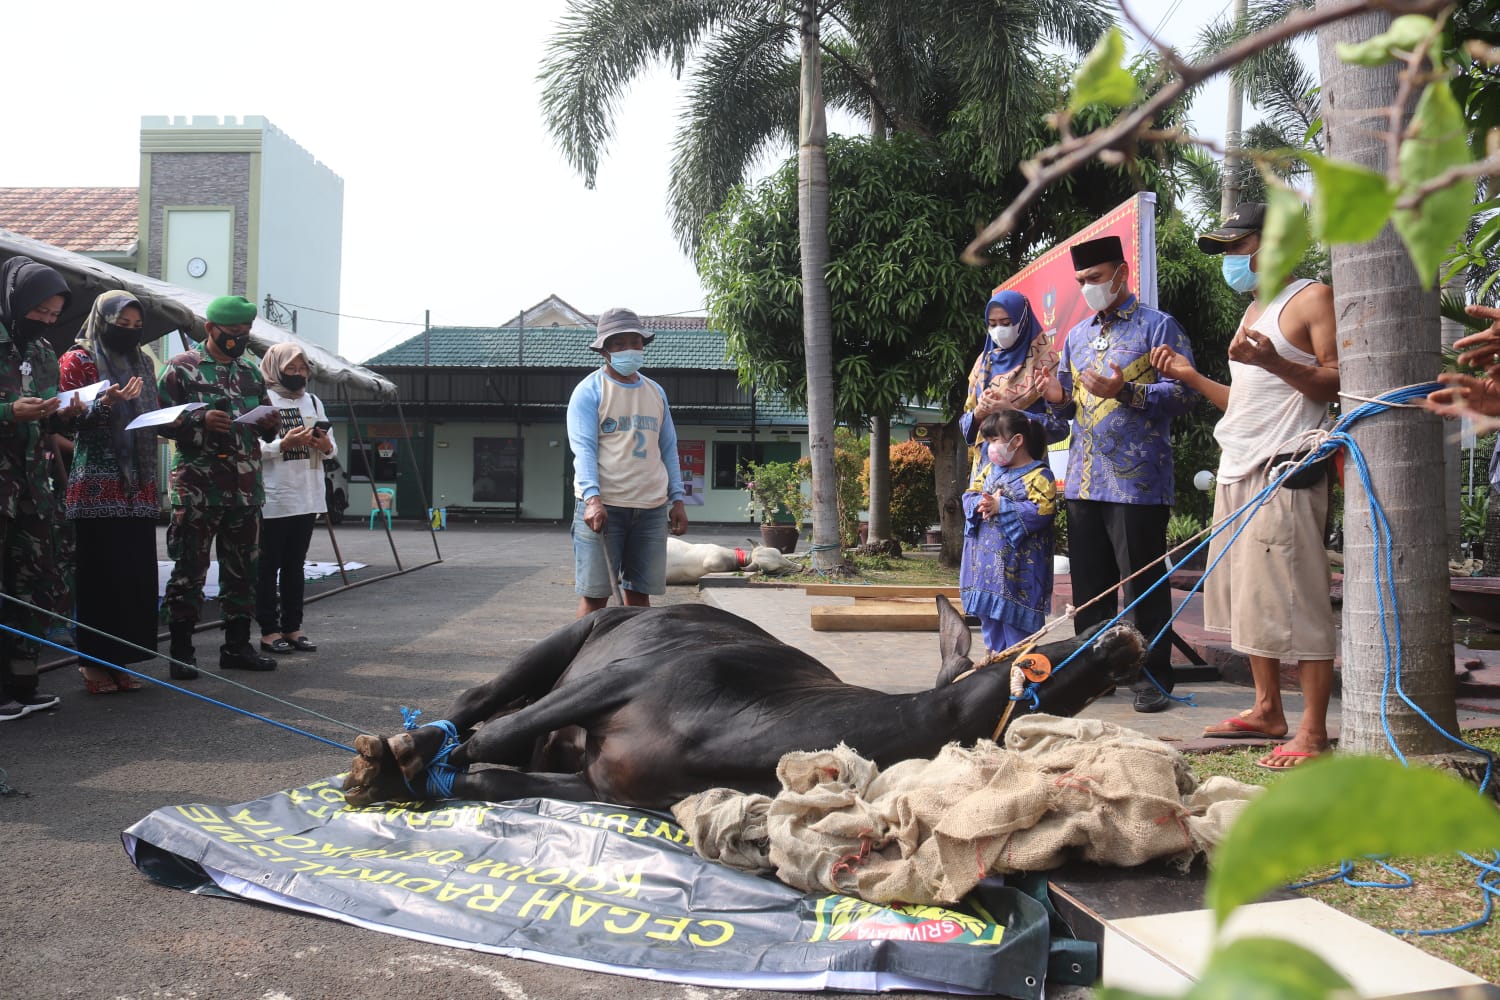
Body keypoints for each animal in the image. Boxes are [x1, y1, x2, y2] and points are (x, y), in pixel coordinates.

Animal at [345, 599, 1140, 809]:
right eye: (1032, 655)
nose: (1121, 636)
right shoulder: (619, 680)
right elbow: (492, 734)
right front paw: (397, 761)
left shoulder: (605, 785)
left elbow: (488, 775)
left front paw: (417, 777)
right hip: (567, 641)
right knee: (484, 701)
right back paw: (399, 748)